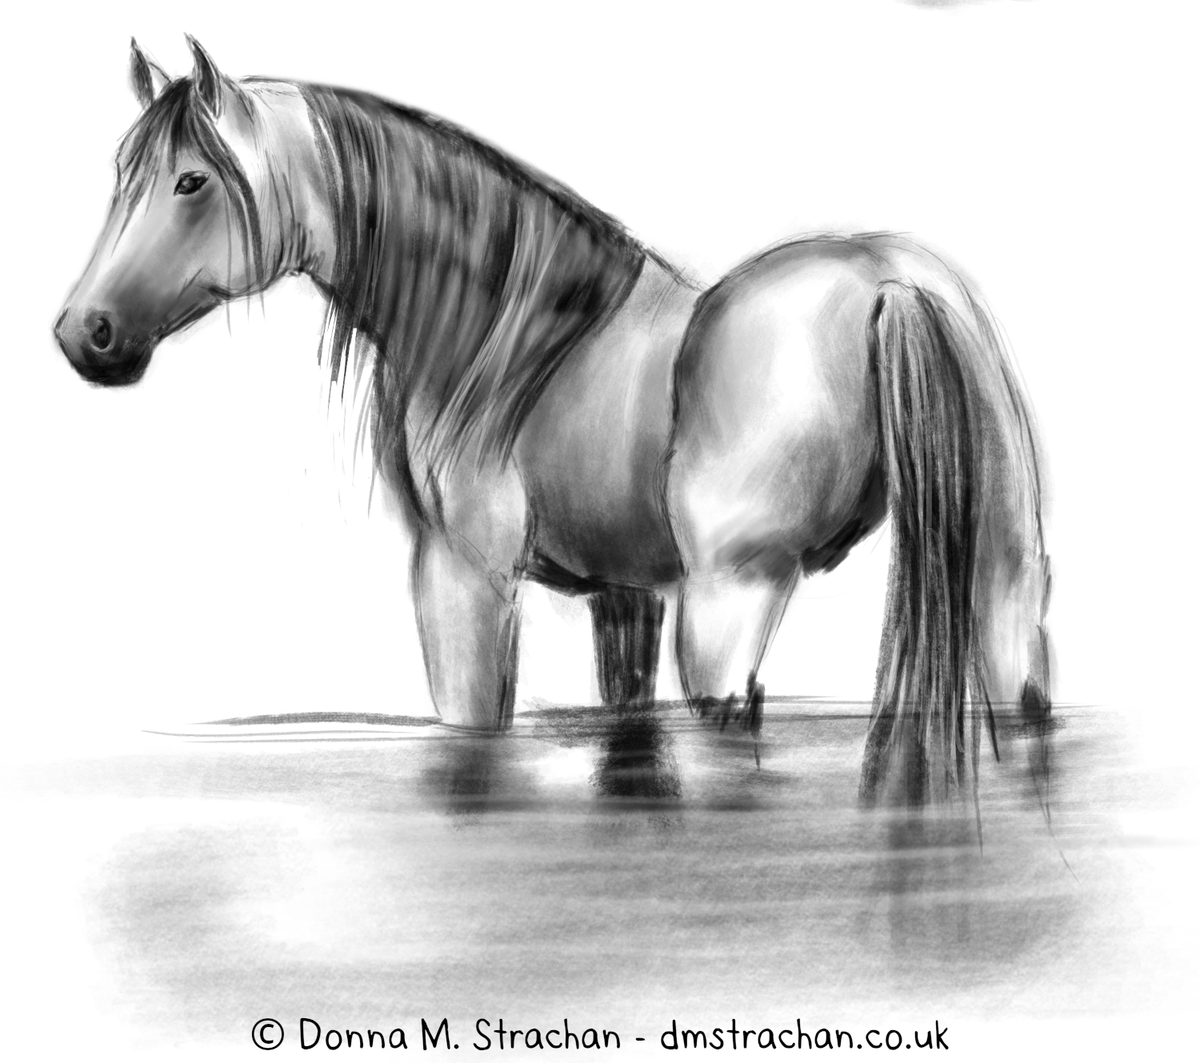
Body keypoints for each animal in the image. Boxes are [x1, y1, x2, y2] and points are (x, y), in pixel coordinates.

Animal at [55, 38, 1053, 807]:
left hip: (733, 599)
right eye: (121, 176)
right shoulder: (628, 593)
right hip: (1000, 584)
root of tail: (894, 281)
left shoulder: (464, 580)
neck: (519, 341)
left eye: (191, 181)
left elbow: (473, 729)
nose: (83, 333)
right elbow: (628, 731)